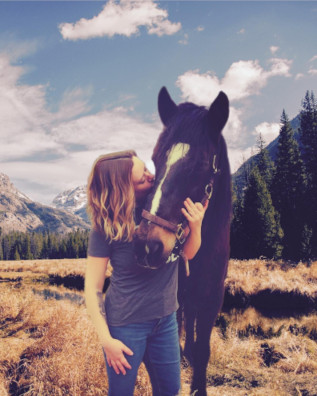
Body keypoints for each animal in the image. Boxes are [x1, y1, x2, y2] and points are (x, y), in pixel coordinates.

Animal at [133, 87, 230, 396]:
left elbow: (203, 349)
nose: (147, 246)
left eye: (200, 165)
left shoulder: (213, 297)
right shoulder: (172, 296)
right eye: (155, 159)